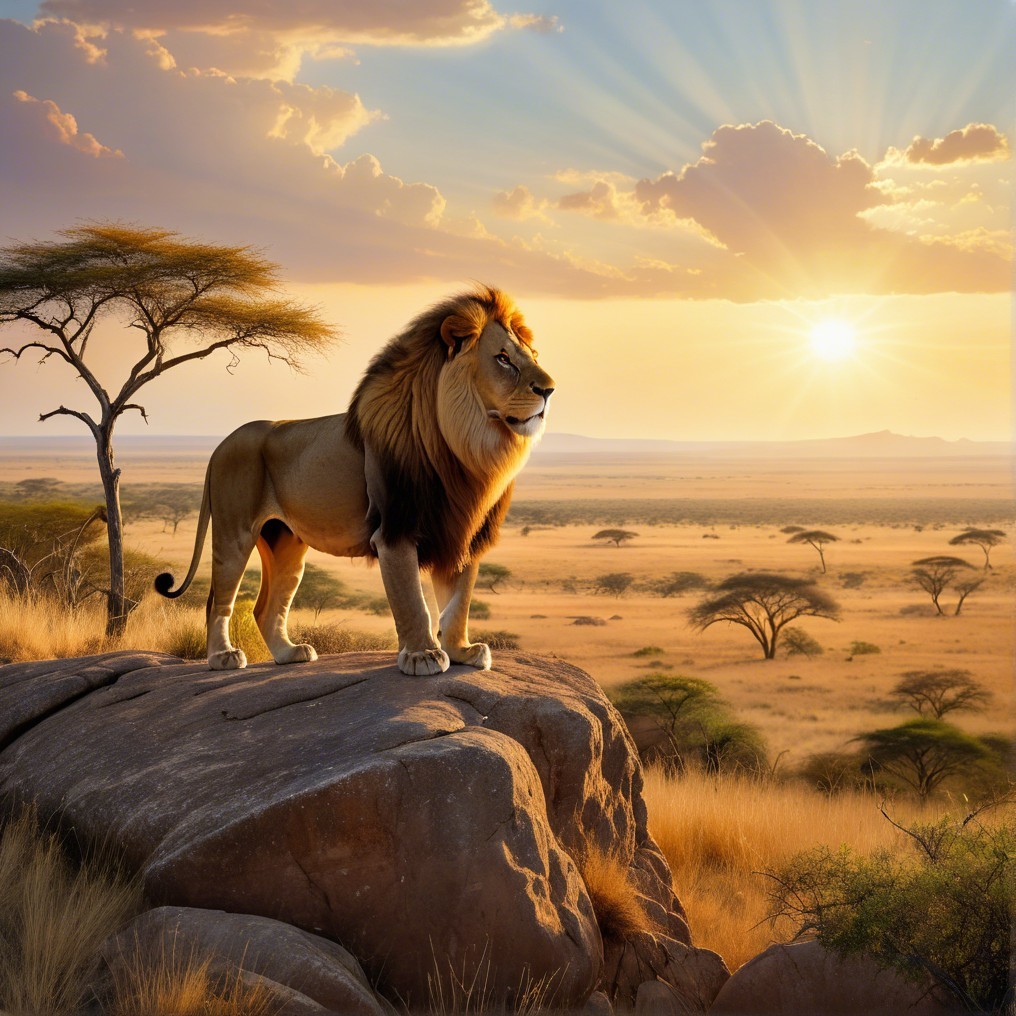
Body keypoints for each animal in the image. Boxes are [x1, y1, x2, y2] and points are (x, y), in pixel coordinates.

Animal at [155, 286, 555, 676]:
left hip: (285, 542)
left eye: (533, 354)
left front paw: (461, 651)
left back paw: (289, 653)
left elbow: (458, 603)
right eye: (503, 359)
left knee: (265, 606)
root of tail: (220, 444)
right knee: (217, 601)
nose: (550, 390)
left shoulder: (461, 532)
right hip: (234, 532)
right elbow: (413, 601)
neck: (462, 451)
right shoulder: (395, 530)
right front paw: (423, 655)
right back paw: (222, 657)